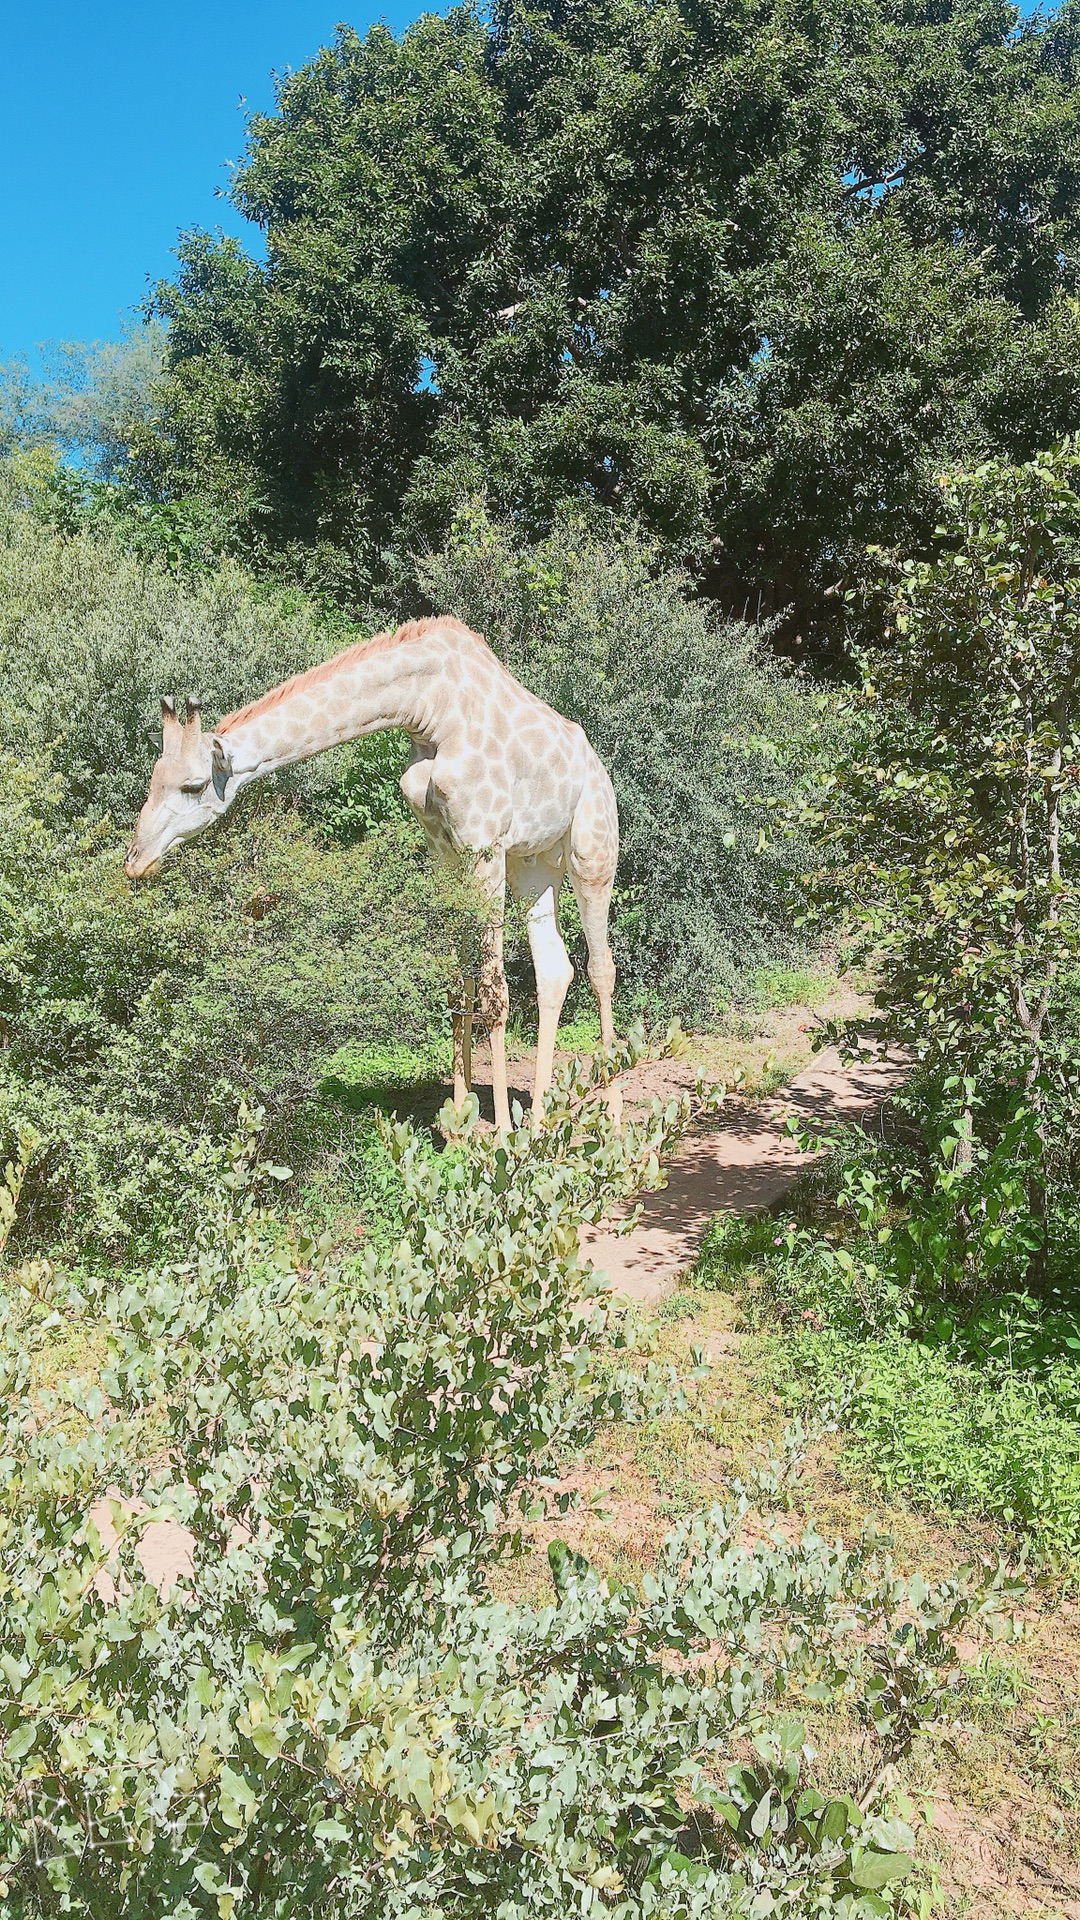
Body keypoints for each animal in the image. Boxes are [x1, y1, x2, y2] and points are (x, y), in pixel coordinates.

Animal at [122, 614, 618, 1121]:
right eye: (153, 779)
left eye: (193, 785)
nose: (136, 860)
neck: (429, 709)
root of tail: (597, 766)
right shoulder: (445, 847)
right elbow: (457, 984)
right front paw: (460, 1117)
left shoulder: (484, 842)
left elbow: (493, 992)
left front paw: (498, 1134)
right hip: (532, 863)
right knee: (555, 968)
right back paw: (538, 1118)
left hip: (591, 849)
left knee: (601, 966)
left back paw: (611, 1114)